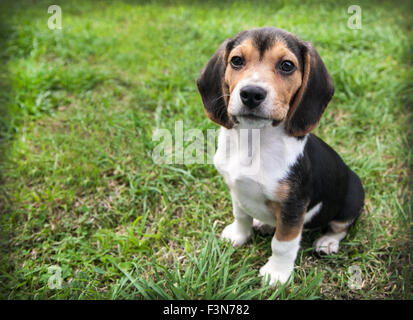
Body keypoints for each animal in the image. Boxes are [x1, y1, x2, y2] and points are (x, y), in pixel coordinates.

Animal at [196, 28, 364, 288]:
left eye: (287, 65)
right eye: (236, 61)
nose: (251, 93)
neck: (254, 140)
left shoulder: (293, 207)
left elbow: (283, 243)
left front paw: (276, 274)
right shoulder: (236, 190)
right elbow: (241, 215)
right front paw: (239, 235)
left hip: (351, 200)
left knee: (341, 226)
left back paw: (327, 242)